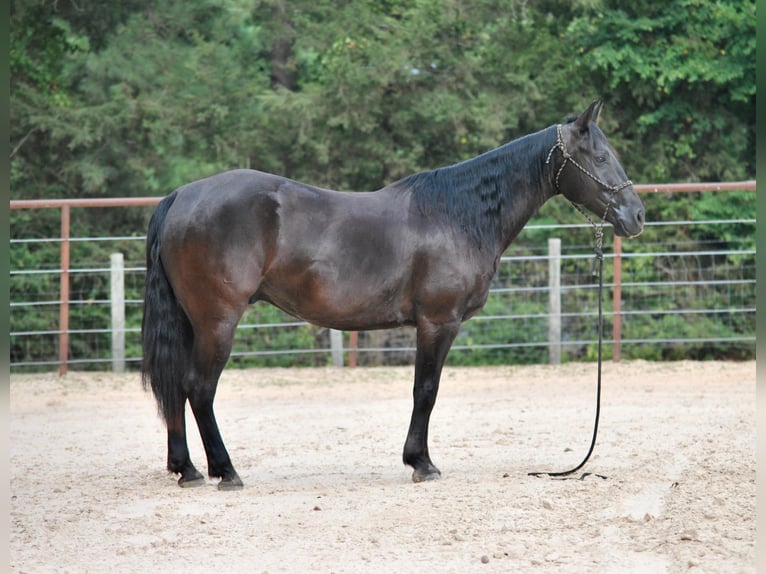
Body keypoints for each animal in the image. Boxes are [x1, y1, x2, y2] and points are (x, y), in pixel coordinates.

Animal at [141, 99, 644, 490]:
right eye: (600, 157)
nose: (636, 215)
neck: (458, 215)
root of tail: (180, 196)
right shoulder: (438, 322)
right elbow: (426, 390)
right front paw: (421, 463)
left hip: (192, 321)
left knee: (178, 387)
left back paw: (187, 470)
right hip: (217, 321)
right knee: (199, 388)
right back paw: (225, 471)